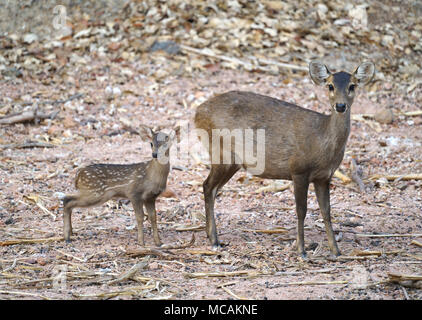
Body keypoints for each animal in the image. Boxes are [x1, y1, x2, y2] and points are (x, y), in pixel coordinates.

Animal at [193, 61, 374, 258]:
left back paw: (211, 236)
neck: (322, 142)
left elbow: (326, 211)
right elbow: (301, 211)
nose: (340, 106)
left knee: (212, 188)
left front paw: (336, 250)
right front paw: (302, 250)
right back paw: (215, 240)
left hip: (232, 161)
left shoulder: (324, 177)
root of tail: (197, 113)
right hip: (222, 152)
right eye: (330, 86)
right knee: (207, 185)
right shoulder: (299, 170)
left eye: (352, 86)